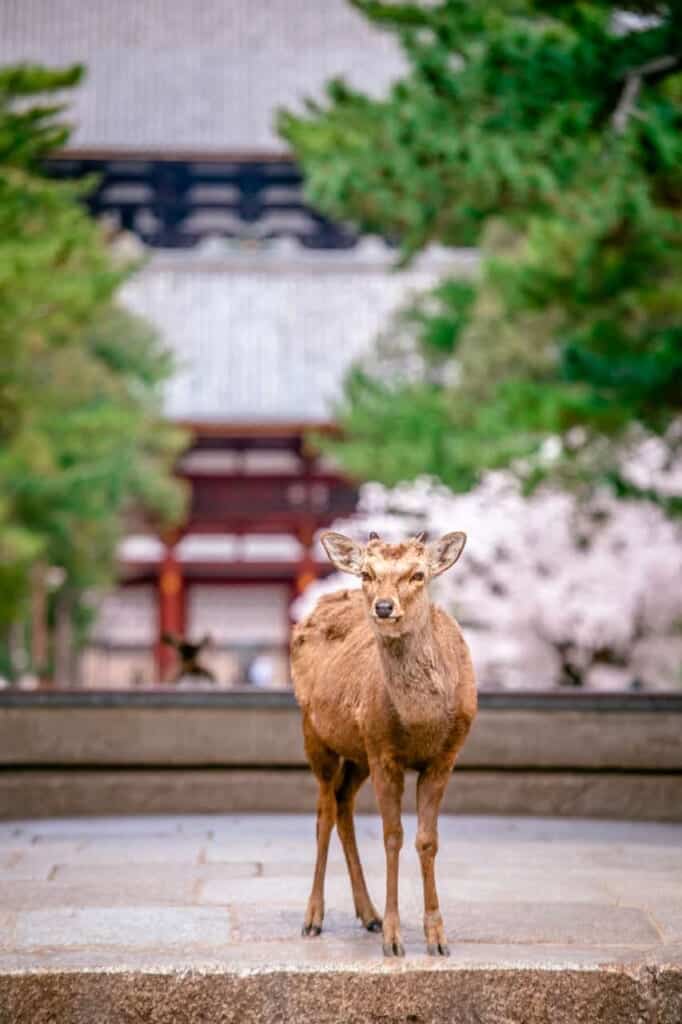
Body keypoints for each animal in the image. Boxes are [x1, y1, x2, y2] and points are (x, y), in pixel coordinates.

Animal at [291, 529, 477, 957]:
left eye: (419, 574)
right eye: (367, 573)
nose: (384, 606)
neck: (420, 721)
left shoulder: (445, 757)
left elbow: (427, 841)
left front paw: (437, 937)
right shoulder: (384, 753)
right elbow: (393, 837)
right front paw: (394, 939)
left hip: (359, 751)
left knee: (343, 802)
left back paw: (368, 913)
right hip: (317, 733)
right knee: (324, 811)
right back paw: (314, 917)